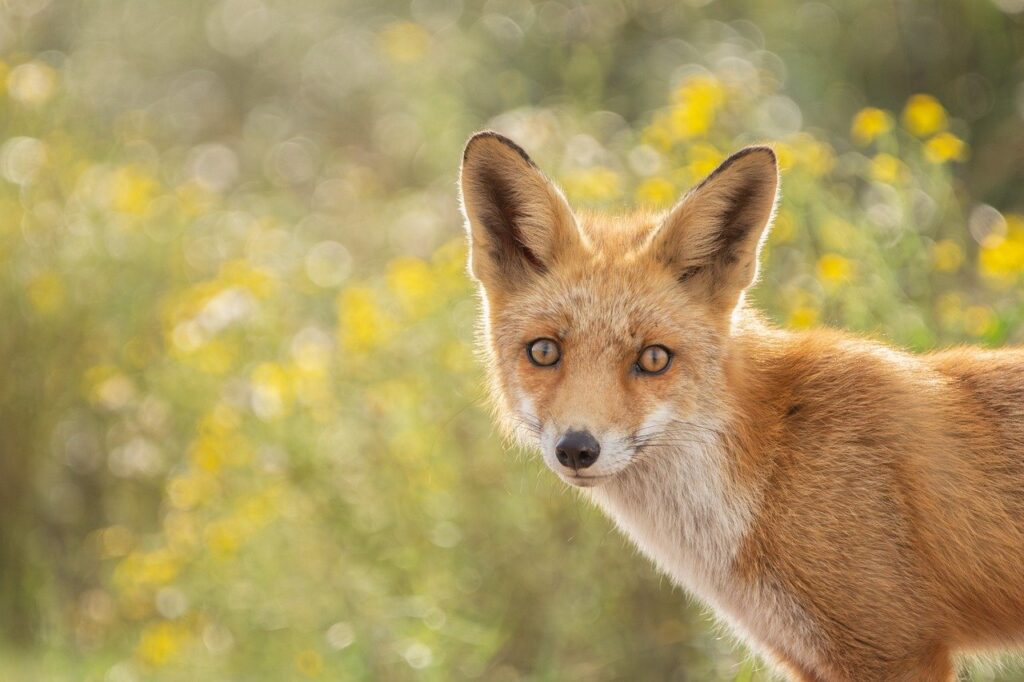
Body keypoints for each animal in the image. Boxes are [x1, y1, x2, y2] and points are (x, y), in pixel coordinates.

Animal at [458, 130, 1024, 681]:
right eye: (544, 352)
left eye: (654, 359)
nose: (577, 448)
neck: (771, 470)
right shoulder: (810, 656)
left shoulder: (894, 651)